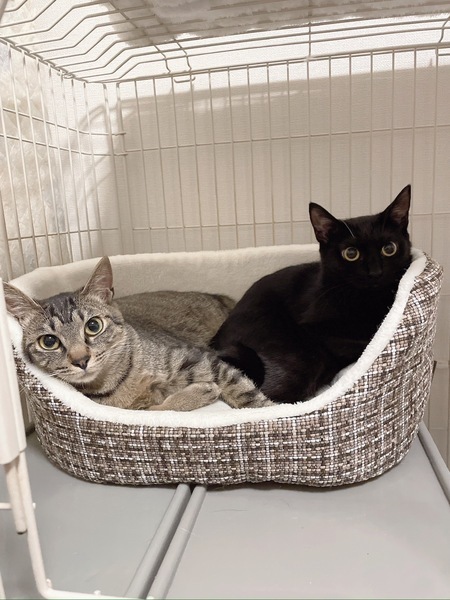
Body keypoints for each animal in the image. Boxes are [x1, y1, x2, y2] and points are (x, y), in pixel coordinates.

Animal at [4, 258, 273, 411]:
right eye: (49, 341)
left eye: (93, 326)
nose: (81, 360)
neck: (120, 381)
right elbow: (161, 410)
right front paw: (196, 395)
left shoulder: (203, 360)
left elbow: (246, 394)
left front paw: (267, 410)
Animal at [211, 185, 413, 404]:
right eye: (351, 253)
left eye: (389, 248)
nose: (375, 273)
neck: (368, 302)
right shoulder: (315, 330)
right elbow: (357, 341)